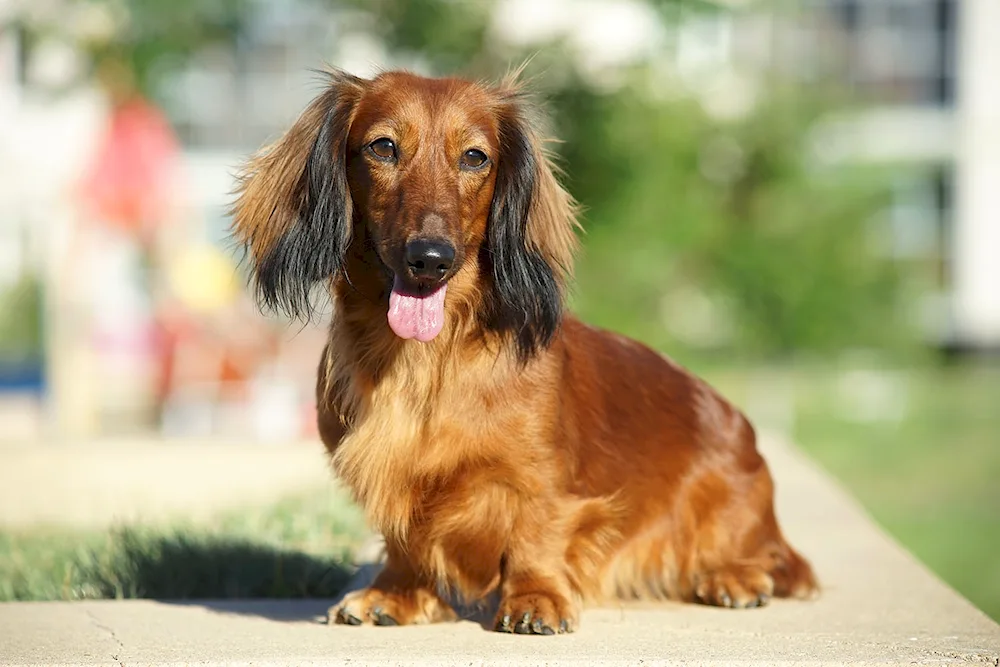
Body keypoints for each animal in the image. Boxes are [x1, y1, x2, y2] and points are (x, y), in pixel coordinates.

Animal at [230, 68, 816, 636]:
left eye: (475, 157)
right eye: (383, 147)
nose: (431, 259)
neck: (426, 361)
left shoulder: (541, 476)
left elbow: (537, 529)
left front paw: (536, 599)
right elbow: (405, 535)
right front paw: (396, 594)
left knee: (774, 561)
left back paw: (734, 577)